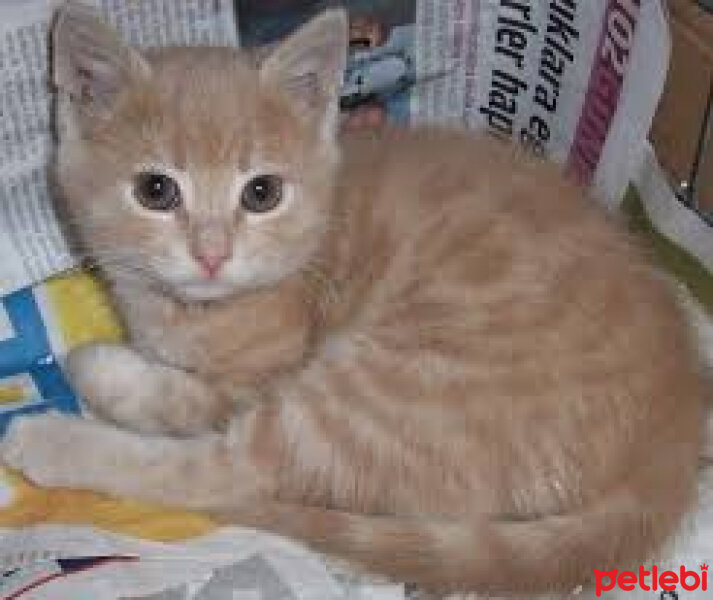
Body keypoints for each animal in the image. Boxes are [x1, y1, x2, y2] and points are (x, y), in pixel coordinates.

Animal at [0, 2, 704, 596]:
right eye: (155, 191)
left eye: (261, 193)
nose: (212, 254)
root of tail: (672, 437)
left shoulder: (258, 377)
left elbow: (184, 401)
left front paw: (100, 365)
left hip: (390, 385)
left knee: (230, 469)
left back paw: (51, 439)